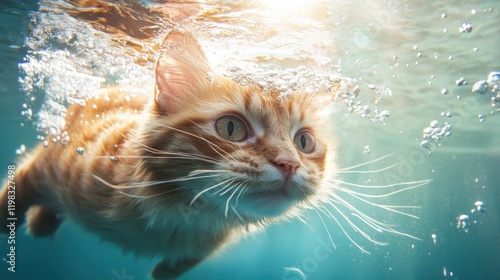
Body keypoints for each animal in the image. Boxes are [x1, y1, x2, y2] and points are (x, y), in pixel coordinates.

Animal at [1, 29, 336, 278]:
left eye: (304, 142)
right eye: (231, 128)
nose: (289, 163)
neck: (180, 217)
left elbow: (180, 264)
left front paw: (162, 271)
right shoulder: (49, 162)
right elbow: (13, 195)